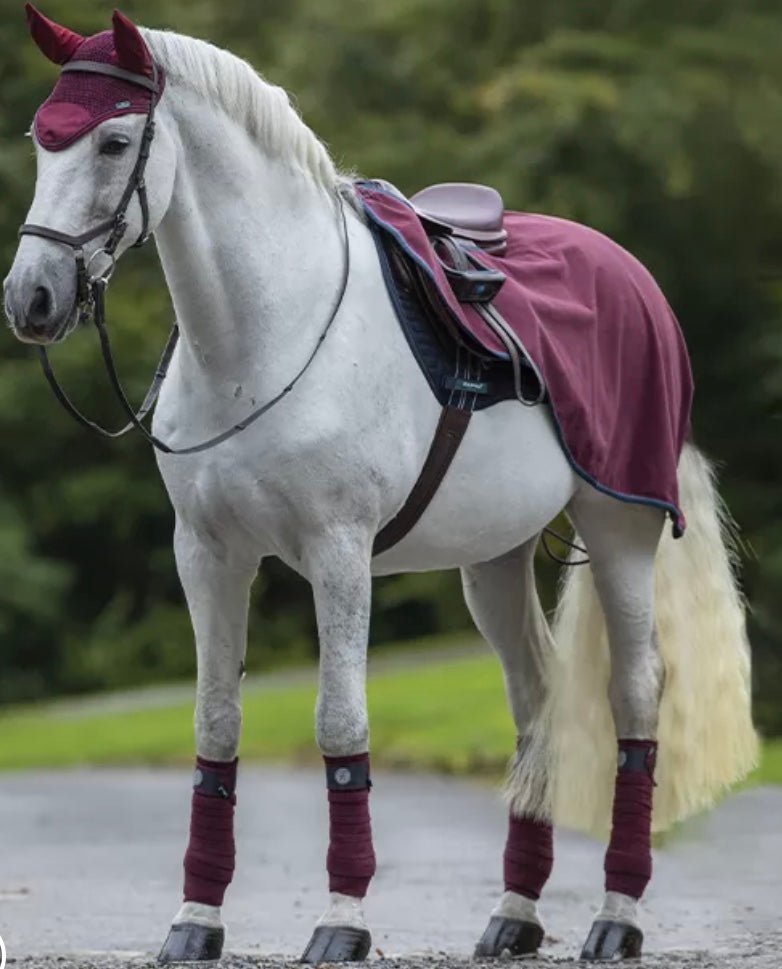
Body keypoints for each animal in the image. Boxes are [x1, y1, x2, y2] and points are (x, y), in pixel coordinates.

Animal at [3, 7, 757, 964]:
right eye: (41, 139)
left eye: (112, 140)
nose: (31, 299)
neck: (266, 331)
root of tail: (635, 279)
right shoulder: (207, 555)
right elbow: (215, 723)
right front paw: (194, 921)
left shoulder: (339, 551)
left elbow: (341, 723)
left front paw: (342, 919)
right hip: (494, 558)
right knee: (536, 695)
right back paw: (515, 911)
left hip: (620, 528)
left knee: (636, 693)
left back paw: (616, 916)